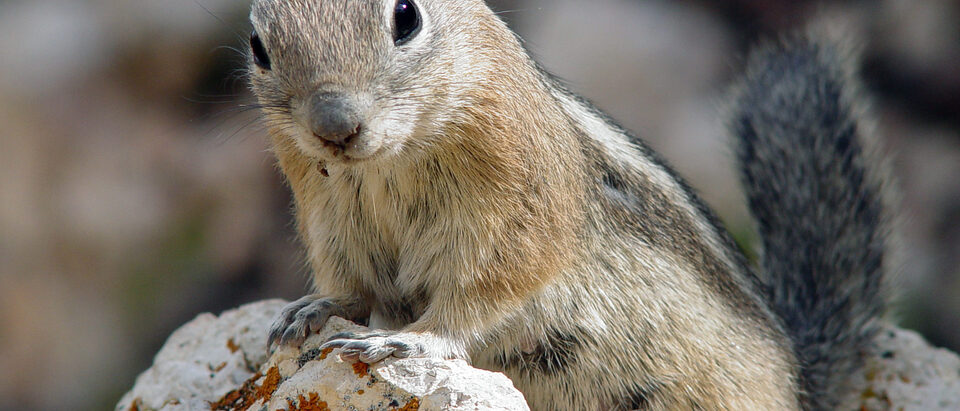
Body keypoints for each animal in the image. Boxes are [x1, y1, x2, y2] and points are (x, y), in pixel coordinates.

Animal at [247, 0, 889, 409]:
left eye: (406, 16)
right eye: (259, 45)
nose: (335, 126)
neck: (384, 165)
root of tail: (802, 379)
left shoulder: (518, 217)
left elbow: (480, 296)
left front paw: (410, 340)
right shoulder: (327, 218)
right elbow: (353, 288)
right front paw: (312, 308)